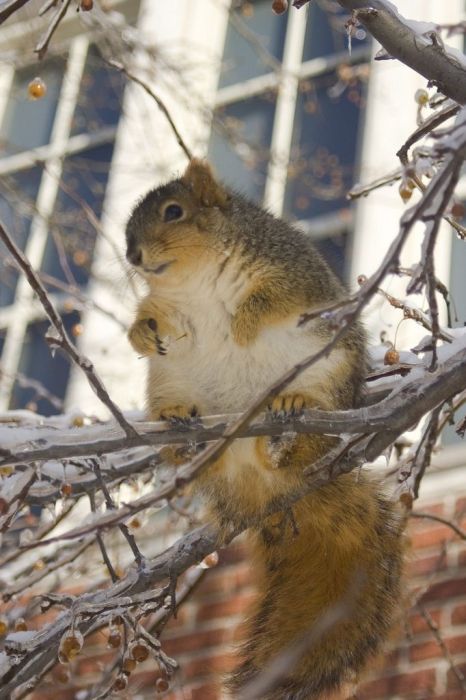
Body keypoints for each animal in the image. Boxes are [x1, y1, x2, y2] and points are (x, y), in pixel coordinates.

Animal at [125, 159, 404, 700]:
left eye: (174, 212)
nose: (132, 255)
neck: (196, 279)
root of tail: (266, 488)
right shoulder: (169, 307)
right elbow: (152, 317)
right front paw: (141, 334)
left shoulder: (292, 273)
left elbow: (275, 298)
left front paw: (243, 327)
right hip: (169, 381)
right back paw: (182, 432)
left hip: (329, 375)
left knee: (311, 433)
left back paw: (291, 426)